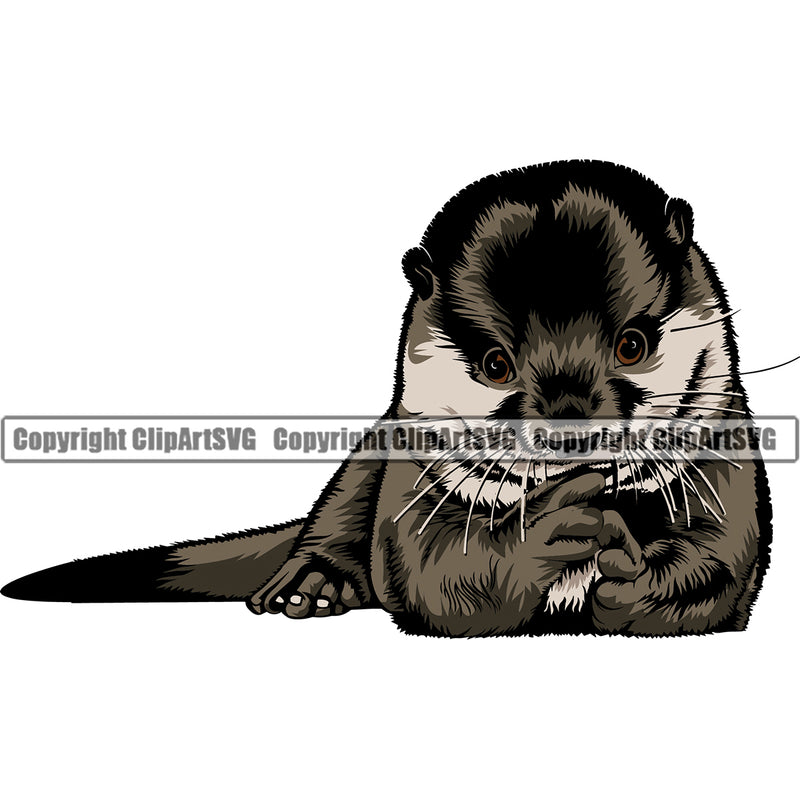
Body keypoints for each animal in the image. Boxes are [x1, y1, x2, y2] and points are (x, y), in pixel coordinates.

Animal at [1, 160, 772, 636]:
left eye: (632, 344)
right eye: (496, 364)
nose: (569, 420)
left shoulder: (723, 452)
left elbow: (724, 556)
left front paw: (631, 579)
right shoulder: (414, 481)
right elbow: (436, 572)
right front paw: (551, 527)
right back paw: (310, 585)